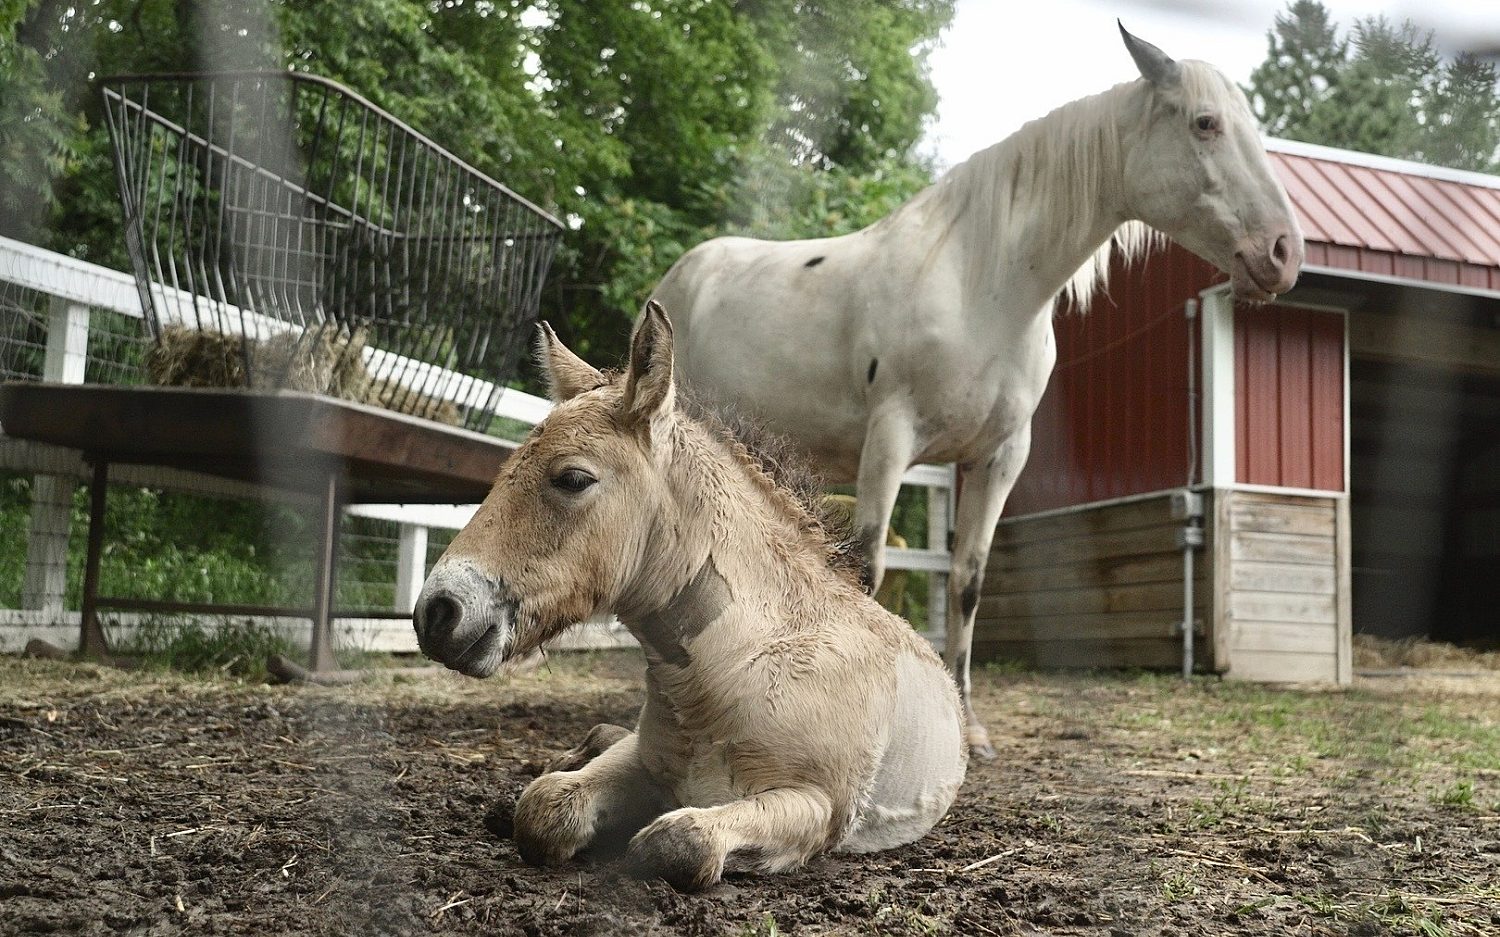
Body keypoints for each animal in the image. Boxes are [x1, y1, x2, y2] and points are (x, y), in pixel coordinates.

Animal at [412, 302, 967, 891]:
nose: (437, 612)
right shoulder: (642, 759)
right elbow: (544, 808)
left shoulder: (819, 805)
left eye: (573, 478)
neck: (733, 668)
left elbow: (679, 841)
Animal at [649, 25, 1304, 760]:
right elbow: (867, 571)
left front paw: (969, 725)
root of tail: (677, 280)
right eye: (1205, 123)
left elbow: (967, 582)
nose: (1284, 253)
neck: (981, 284)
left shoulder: (998, 458)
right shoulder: (891, 441)